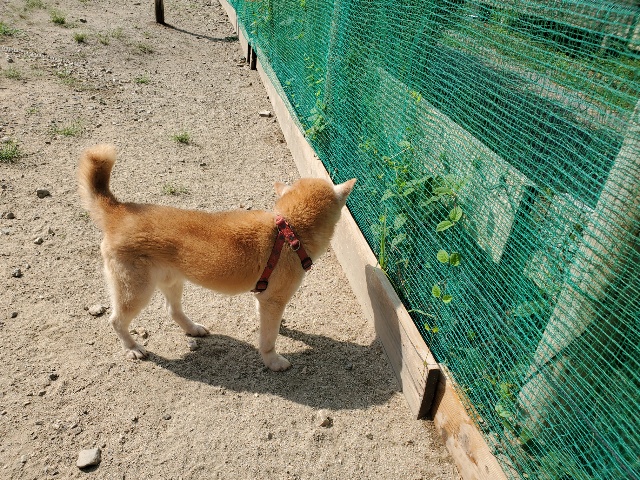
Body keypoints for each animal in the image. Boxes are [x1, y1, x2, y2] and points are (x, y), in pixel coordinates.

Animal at [78, 144, 355, 371]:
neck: (289, 229)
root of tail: (119, 212)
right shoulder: (274, 299)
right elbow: (268, 340)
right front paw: (273, 361)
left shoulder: (265, 298)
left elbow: (269, 322)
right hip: (137, 291)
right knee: (117, 320)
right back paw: (132, 348)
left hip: (171, 280)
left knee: (173, 310)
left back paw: (193, 329)